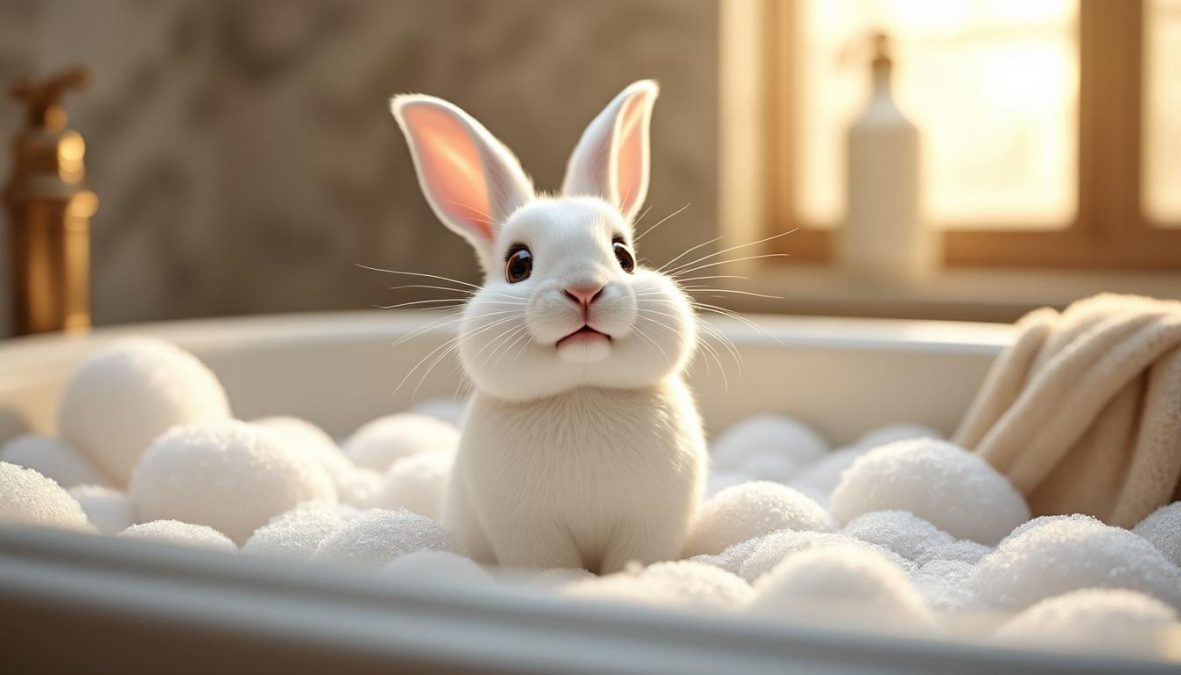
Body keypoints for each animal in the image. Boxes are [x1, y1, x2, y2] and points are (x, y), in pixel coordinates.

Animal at [390, 80, 706, 573]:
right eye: (518, 265)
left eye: (624, 256)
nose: (585, 289)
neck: (581, 390)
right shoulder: (531, 532)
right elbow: (548, 565)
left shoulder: (648, 526)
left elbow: (635, 559)